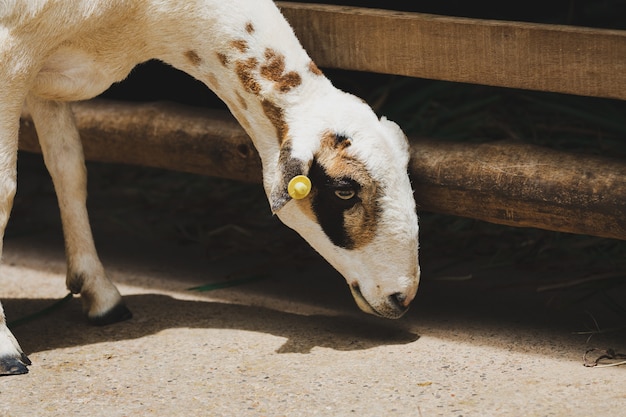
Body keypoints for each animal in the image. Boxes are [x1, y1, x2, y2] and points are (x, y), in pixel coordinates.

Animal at [1, 0, 420, 374]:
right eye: (345, 190)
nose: (403, 298)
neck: (146, 18)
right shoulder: (13, 55)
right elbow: (6, 190)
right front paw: (7, 349)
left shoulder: (46, 72)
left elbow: (69, 169)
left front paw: (101, 296)